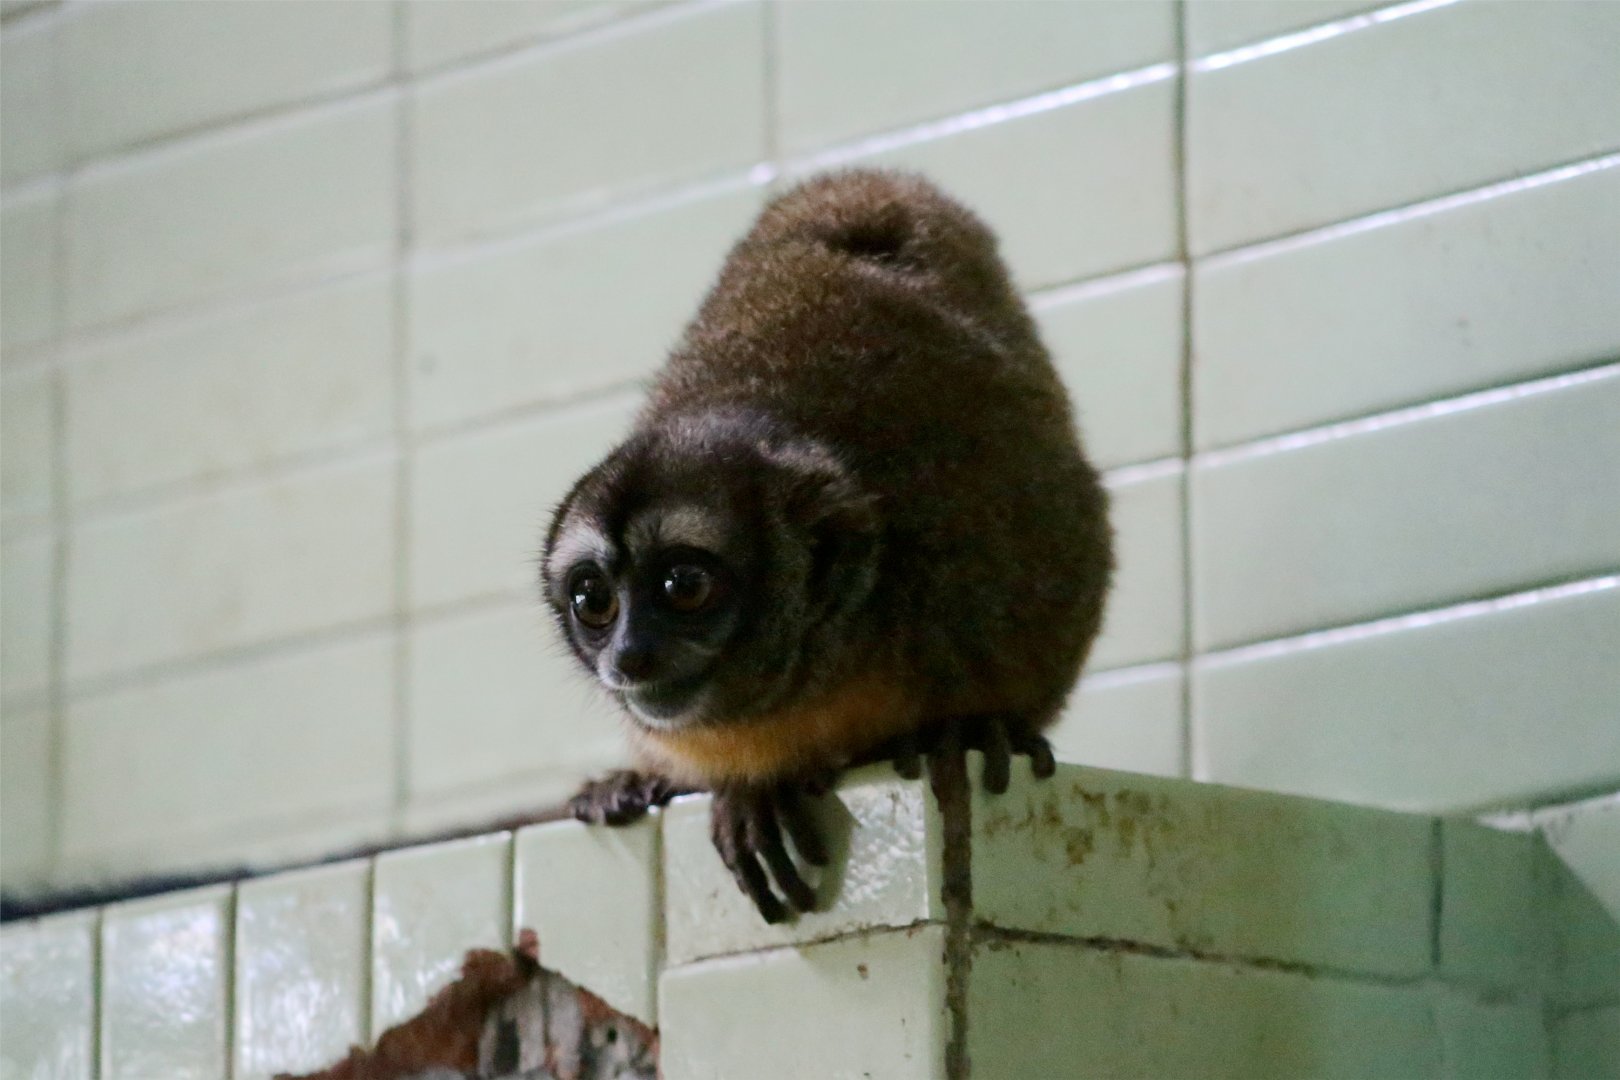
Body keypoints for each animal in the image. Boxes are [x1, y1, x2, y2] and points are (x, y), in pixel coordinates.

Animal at [543, 169, 1113, 923]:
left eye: (684, 586)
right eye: (593, 600)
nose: (631, 655)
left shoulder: (985, 559)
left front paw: (973, 729)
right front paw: (738, 790)